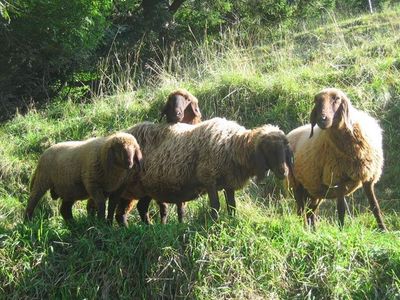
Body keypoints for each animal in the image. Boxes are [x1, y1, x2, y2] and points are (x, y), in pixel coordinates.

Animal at [108, 118, 292, 225]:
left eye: (284, 149)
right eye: (268, 149)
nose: (283, 172)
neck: (233, 146)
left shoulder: (229, 183)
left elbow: (232, 206)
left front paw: (231, 221)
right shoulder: (209, 179)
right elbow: (215, 206)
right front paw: (215, 225)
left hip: (143, 188)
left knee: (134, 210)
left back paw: (145, 229)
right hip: (127, 186)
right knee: (120, 211)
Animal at [288, 88, 388, 231]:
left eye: (336, 99)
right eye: (316, 101)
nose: (322, 119)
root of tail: (291, 133)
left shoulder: (368, 176)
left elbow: (375, 206)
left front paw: (384, 230)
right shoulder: (338, 178)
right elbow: (341, 209)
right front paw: (341, 231)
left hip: (316, 189)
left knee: (310, 212)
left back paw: (314, 232)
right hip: (296, 184)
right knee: (301, 211)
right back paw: (305, 230)